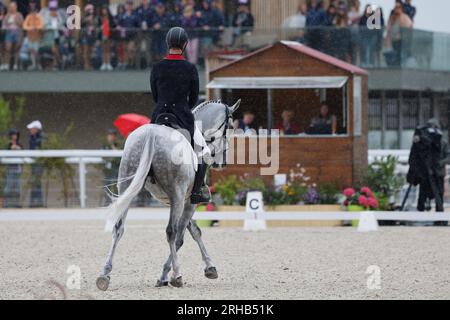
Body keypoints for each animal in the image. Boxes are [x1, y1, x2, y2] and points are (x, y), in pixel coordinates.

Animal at [96, 99, 241, 290]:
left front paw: (209, 267)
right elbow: (182, 237)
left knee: (118, 227)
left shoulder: (181, 201)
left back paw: (104, 274)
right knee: (171, 232)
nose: (221, 163)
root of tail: (152, 135)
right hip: (177, 194)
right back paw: (177, 276)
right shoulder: (187, 202)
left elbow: (194, 231)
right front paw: (167, 275)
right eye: (231, 127)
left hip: (128, 185)